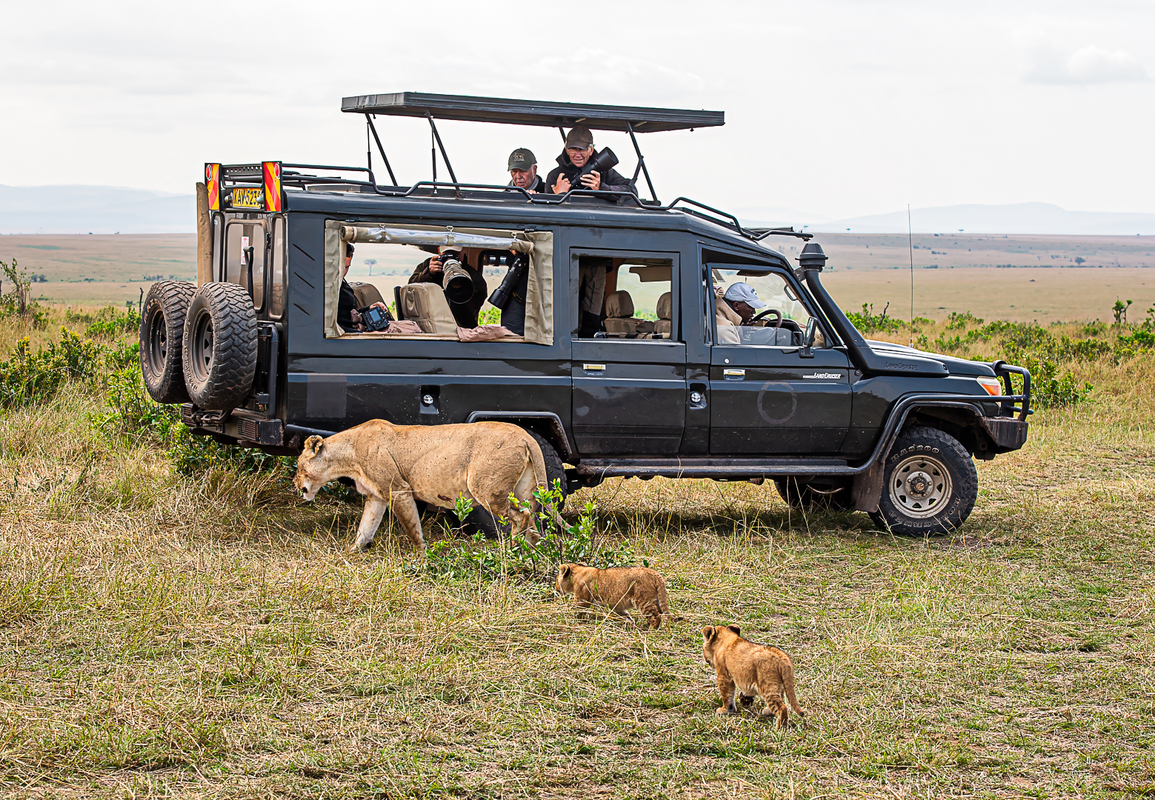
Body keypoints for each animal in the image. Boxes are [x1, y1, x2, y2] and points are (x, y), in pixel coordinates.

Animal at [293, 419, 562, 554]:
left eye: (298, 466)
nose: (295, 483)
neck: (347, 456)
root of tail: (526, 436)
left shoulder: (398, 489)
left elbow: (412, 527)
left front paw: (421, 557)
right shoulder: (376, 496)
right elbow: (365, 528)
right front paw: (352, 551)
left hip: (487, 490)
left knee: (521, 516)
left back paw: (514, 550)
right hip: (524, 489)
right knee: (533, 516)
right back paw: (532, 552)